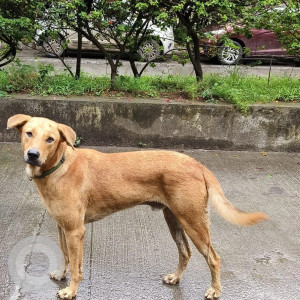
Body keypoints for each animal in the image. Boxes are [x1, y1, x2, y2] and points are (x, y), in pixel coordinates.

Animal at [8, 113, 268, 298]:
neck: (59, 166)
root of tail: (197, 164)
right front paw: (61, 275)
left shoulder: (75, 231)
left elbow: (76, 267)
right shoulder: (63, 227)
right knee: (185, 252)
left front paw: (71, 291)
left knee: (213, 258)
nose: (33, 155)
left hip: (194, 222)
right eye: (29, 133)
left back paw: (215, 290)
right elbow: (65, 256)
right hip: (174, 219)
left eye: (50, 139)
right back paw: (176, 278)